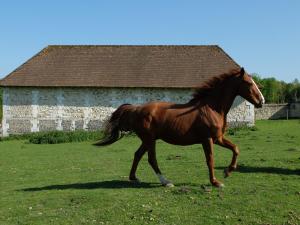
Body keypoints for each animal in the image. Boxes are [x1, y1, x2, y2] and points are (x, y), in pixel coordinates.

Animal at [94, 67, 264, 187]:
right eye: (249, 83)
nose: (261, 101)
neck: (212, 108)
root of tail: (136, 109)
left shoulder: (218, 138)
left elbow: (235, 149)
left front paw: (228, 171)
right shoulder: (207, 139)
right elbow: (210, 159)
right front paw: (215, 182)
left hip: (147, 140)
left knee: (137, 155)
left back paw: (134, 178)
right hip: (150, 140)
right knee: (151, 159)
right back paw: (166, 182)